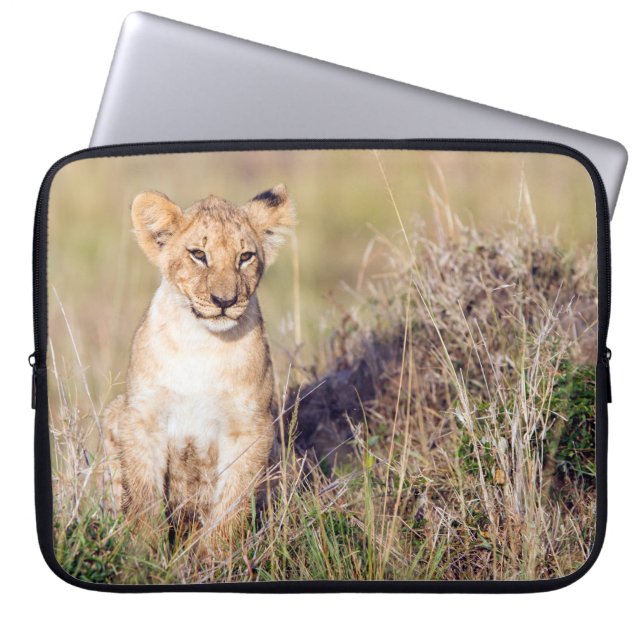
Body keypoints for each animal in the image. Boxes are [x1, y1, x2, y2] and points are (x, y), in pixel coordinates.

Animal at [102, 184, 296, 558]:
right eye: (198, 254)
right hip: (114, 412)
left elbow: (232, 502)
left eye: (245, 256)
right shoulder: (142, 418)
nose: (224, 301)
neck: (202, 343)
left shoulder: (250, 428)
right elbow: (144, 496)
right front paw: (144, 555)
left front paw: (215, 559)